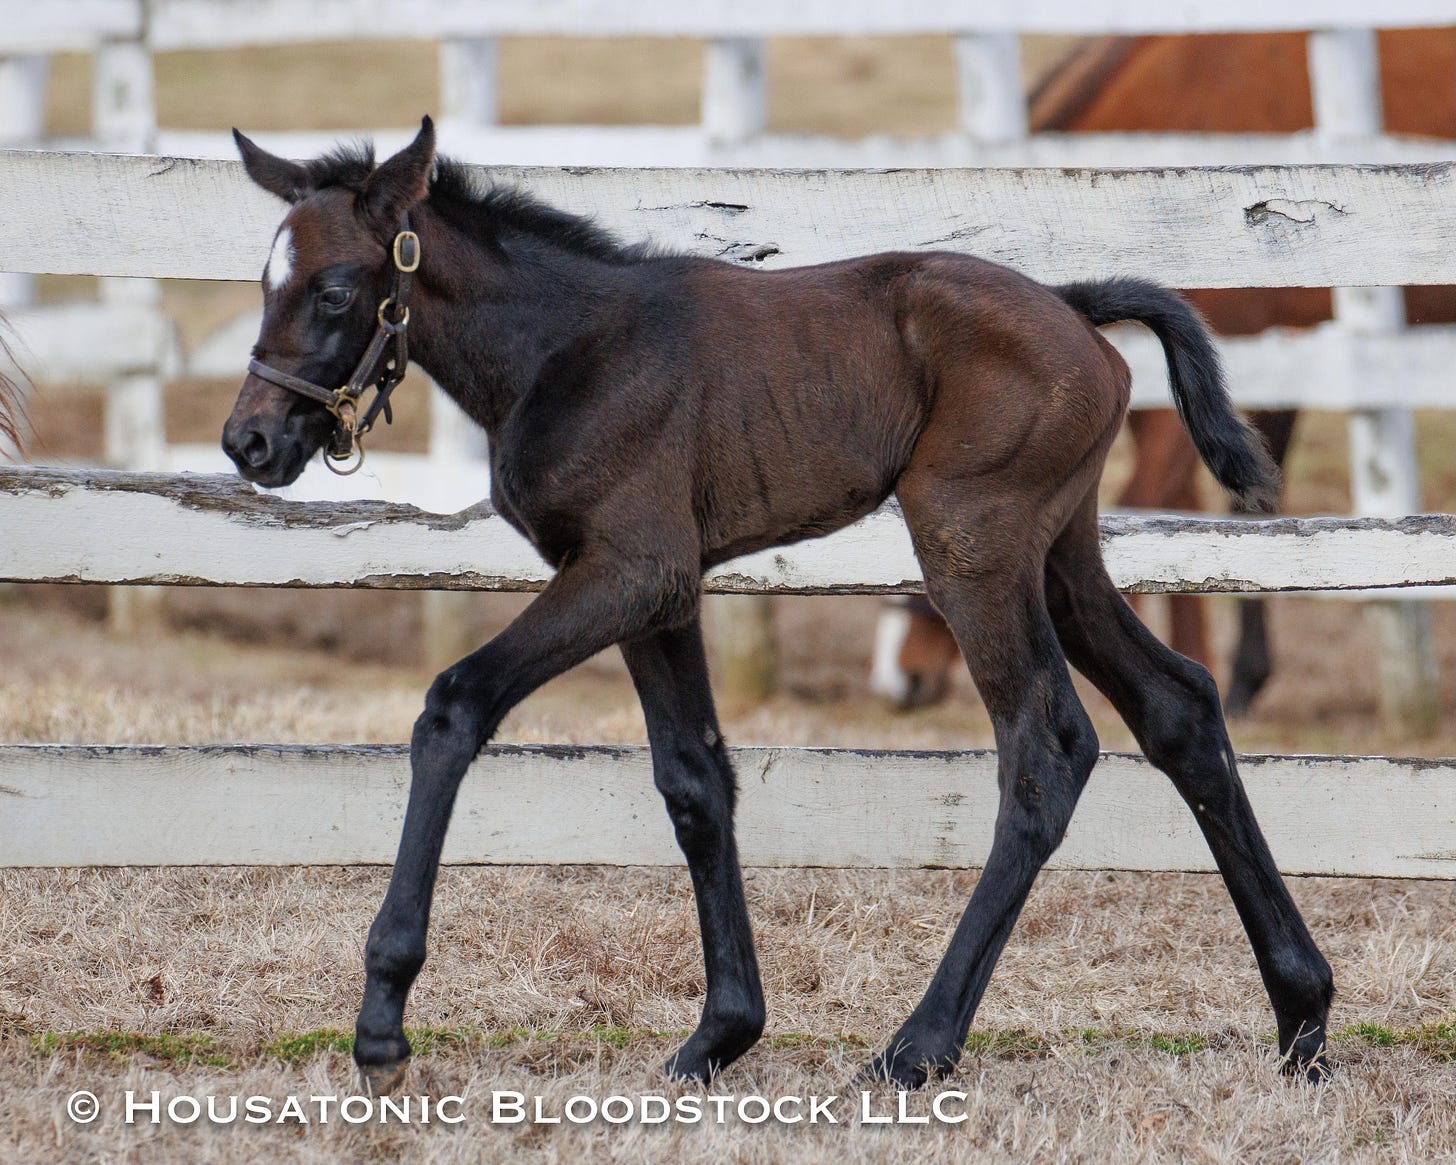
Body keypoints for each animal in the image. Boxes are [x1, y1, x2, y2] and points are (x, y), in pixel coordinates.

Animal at [221, 118, 1333, 1090]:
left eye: (333, 290)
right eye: (262, 284)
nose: (250, 442)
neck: (564, 348)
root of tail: (1073, 304)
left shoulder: (627, 570)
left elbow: (454, 706)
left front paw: (380, 1025)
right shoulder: (659, 593)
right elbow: (694, 780)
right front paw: (720, 1034)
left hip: (972, 543)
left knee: (1048, 747)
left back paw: (917, 1046)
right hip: (1058, 554)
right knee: (1178, 706)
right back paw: (1304, 1017)